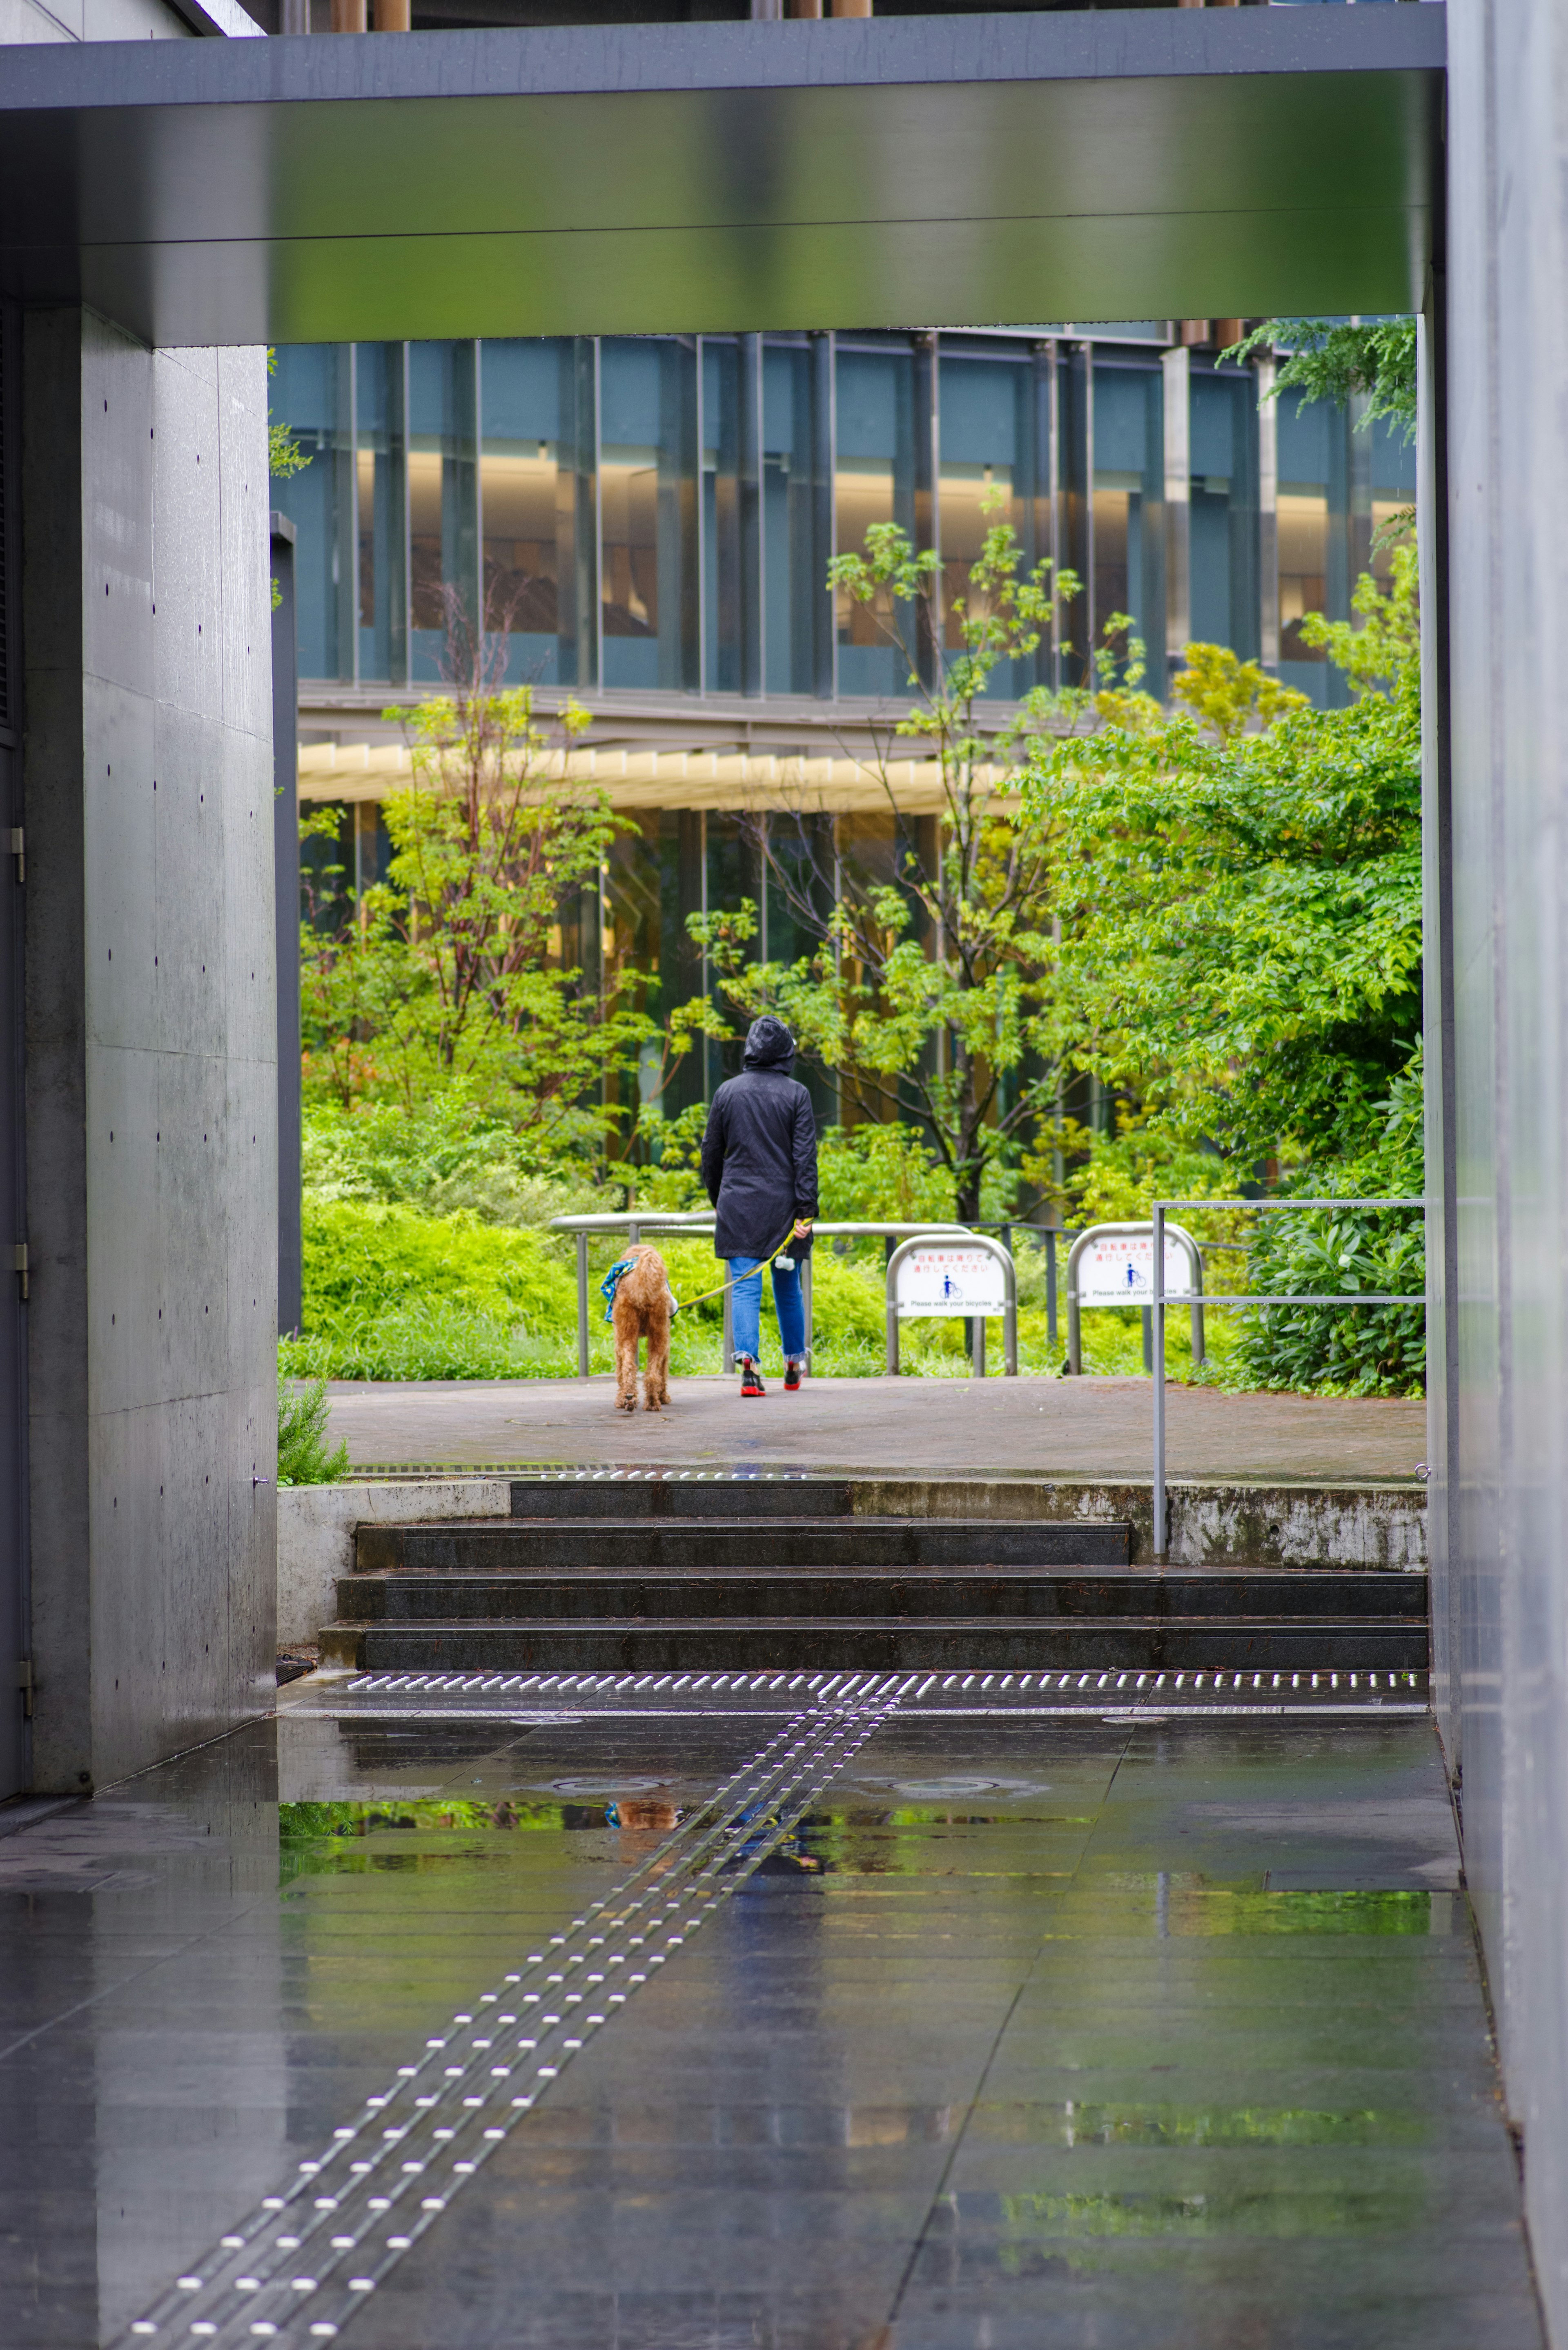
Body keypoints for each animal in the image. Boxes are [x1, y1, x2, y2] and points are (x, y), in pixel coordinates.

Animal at [611, 1250, 672, 1410]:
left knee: (629, 1368)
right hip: (657, 1333)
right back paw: (650, 1402)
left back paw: (628, 1398)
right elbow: (663, 1372)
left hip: (630, 1331)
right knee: (651, 1374)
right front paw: (663, 1396)